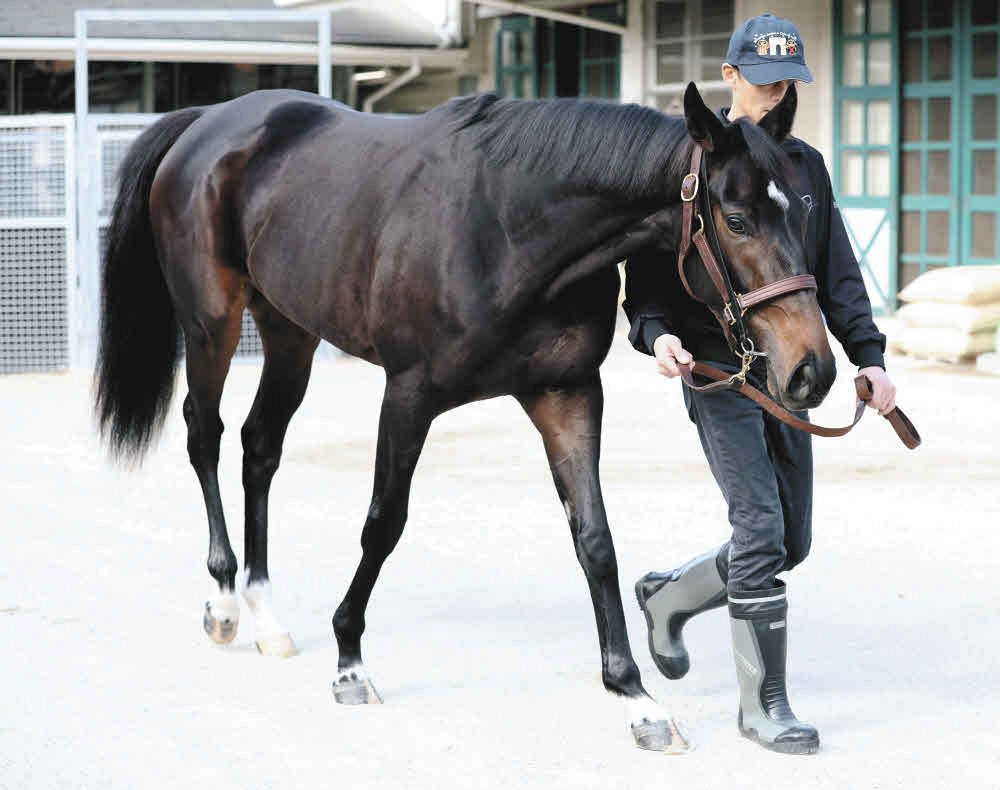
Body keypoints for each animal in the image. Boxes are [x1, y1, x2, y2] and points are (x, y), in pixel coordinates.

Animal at [94, 81, 834, 752]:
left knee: (260, 447)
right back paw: (223, 601)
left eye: (802, 212)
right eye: (735, 219)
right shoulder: (408, 395)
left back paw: (265, 615)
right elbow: (383, 524)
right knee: (205, 436)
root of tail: (207, 123)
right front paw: (349, 663)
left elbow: (594, 540)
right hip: (211, 323)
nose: (813, 371)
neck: (508, 226)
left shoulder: (566, 394)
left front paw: (637, 700)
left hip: (288, 331)